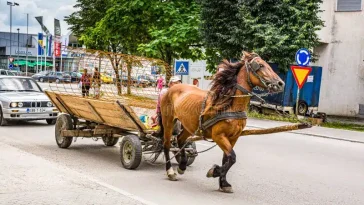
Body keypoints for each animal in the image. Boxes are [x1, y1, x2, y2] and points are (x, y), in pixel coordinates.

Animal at [159, 50, 284, 192]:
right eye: (260, 65)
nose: (281, 83)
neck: (230, 104)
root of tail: (171, 89)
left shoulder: (234, 137)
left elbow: (227, 159)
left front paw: (223, 183)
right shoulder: (218, 136)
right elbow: (232, 158)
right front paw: (214, 171)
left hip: (188, 125)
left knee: (180, 139)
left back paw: (182, 166)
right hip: (168, 121)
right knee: (167, 145)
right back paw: (170, 171)